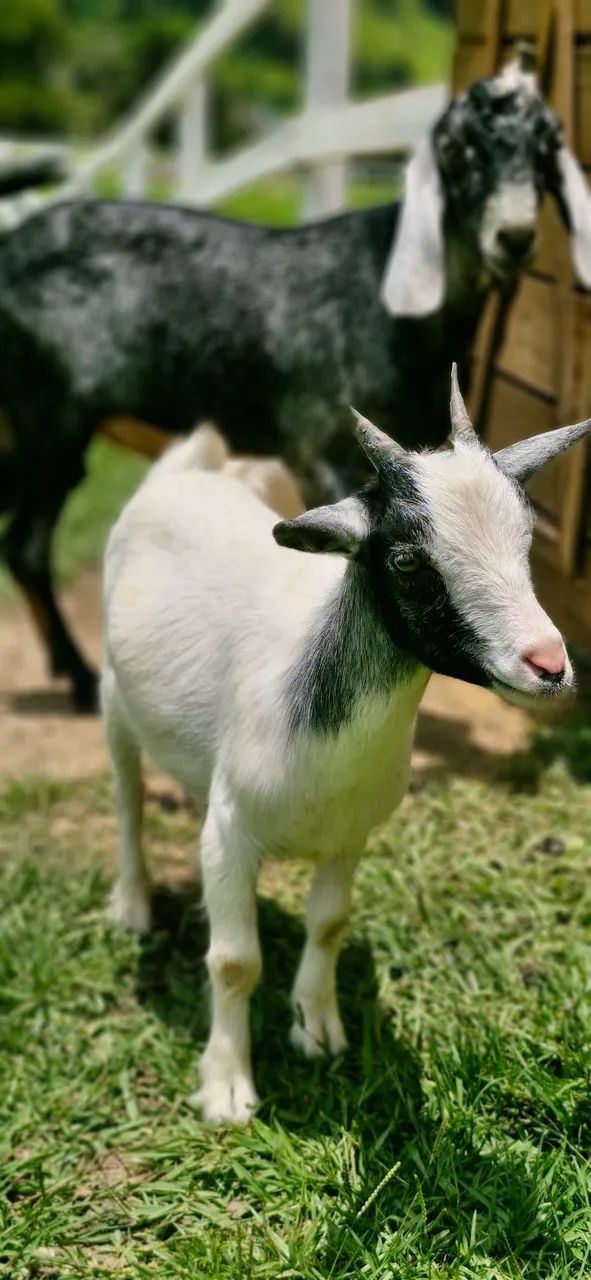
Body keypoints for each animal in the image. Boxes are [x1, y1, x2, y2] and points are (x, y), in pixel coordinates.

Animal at [2, 57, 591, 710]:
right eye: (456, 148)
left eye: (548, 145)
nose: (513, 237)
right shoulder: (320, 448)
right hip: (50, 415)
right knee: (26, 545)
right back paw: (81, 678)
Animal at [102, 366, 591, 1124]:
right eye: (408, 559)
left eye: (525, 536)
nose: (548, 664)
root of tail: (188, 468)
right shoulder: (229, 830)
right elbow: (234, 961)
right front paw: (227, 1086)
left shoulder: (351, 833)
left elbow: (328, 923)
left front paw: (318, 1028)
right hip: (113, 696)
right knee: (126, 795)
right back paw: (133, 905)